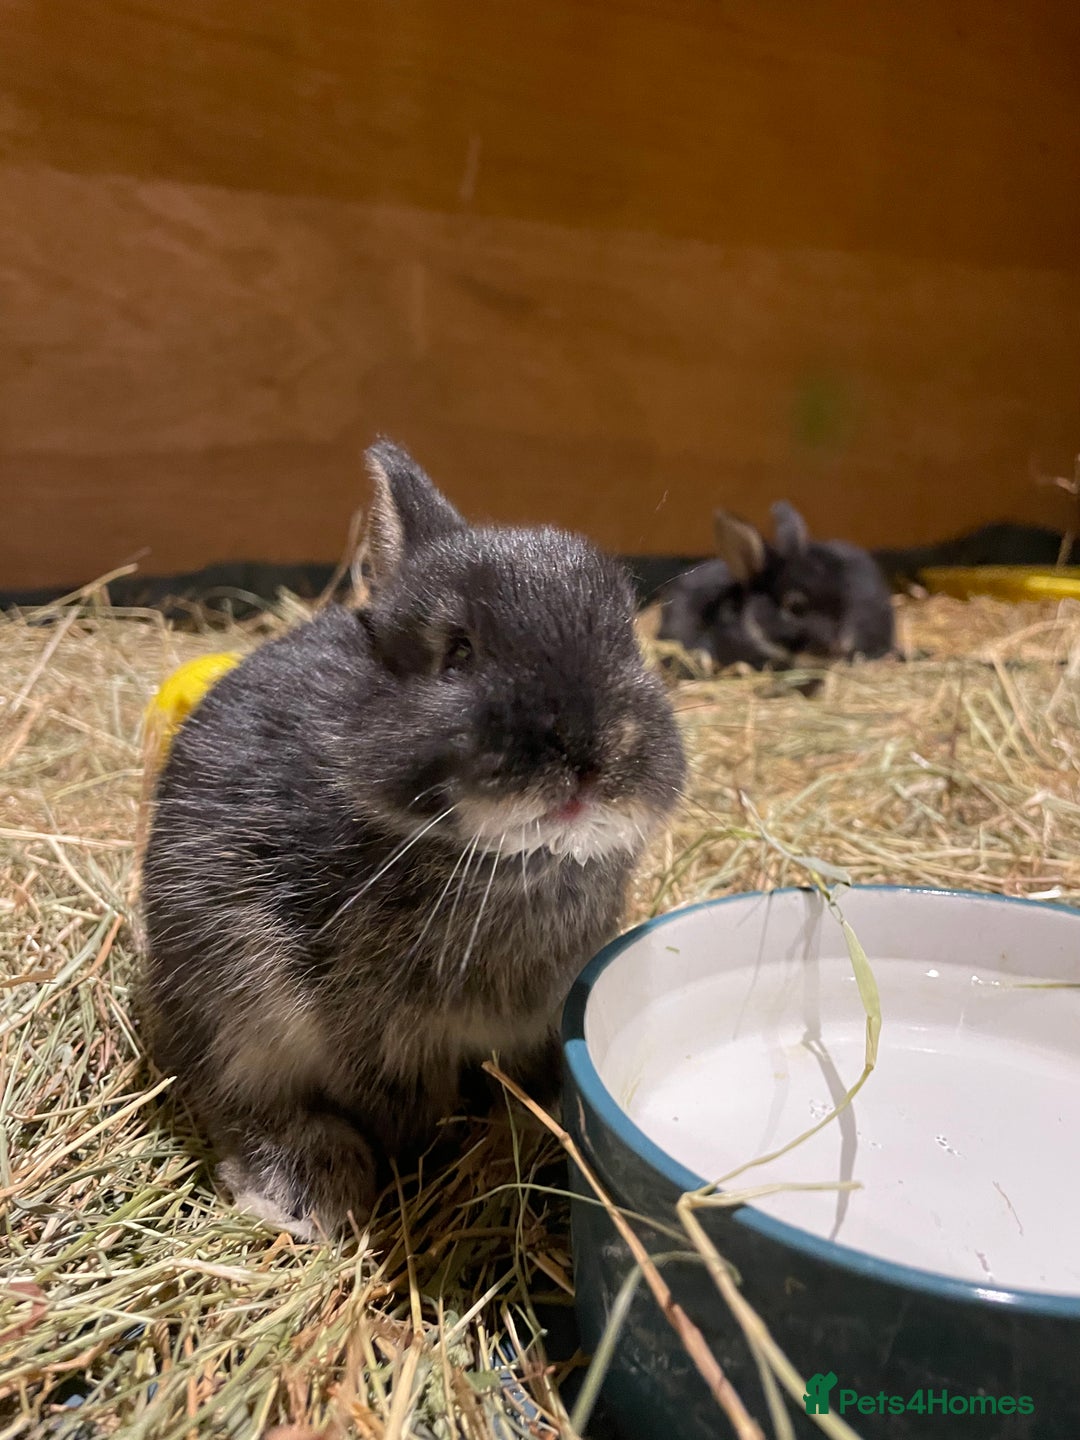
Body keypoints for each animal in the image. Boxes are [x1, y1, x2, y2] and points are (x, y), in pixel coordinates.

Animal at [139, 440, 686, 1238]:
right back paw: (304, 1192)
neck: (507, 864)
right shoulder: (377, 1037)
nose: (590, 755)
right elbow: (402, 1110)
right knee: (236, 1099)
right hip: (223, 995)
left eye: (627, 642)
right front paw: (434, 1163)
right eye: (457, 654)